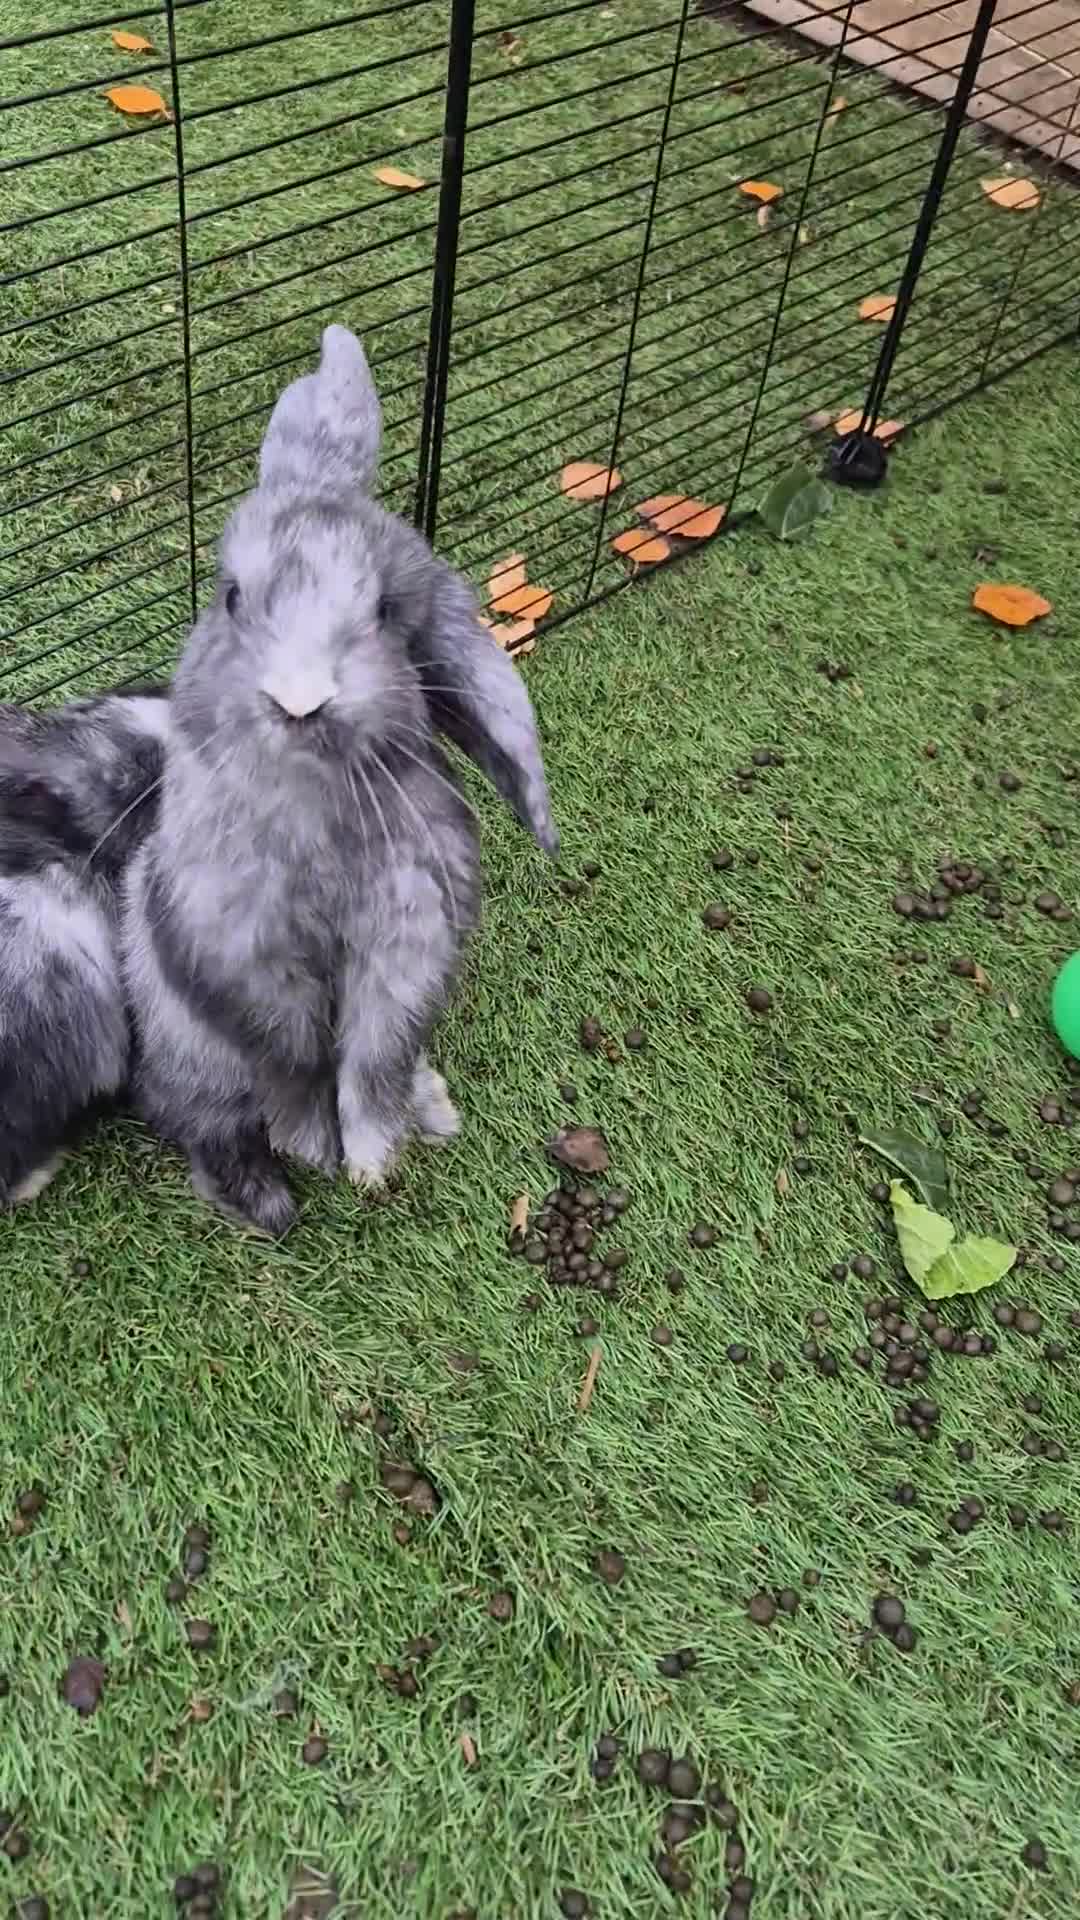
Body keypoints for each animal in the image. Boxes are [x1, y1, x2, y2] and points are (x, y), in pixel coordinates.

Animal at [122, 324, 557, 1238]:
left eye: (386, 612)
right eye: (231, 597)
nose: (299, 700)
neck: (314, 809)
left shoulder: (406, 948)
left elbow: (372, 1062)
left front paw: (370, 1162)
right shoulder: (243, 956)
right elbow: (291, 1061)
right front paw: (310, 1149)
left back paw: (434, 1110)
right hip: (191, 1062)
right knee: (210, 1135)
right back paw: (268, 1205)